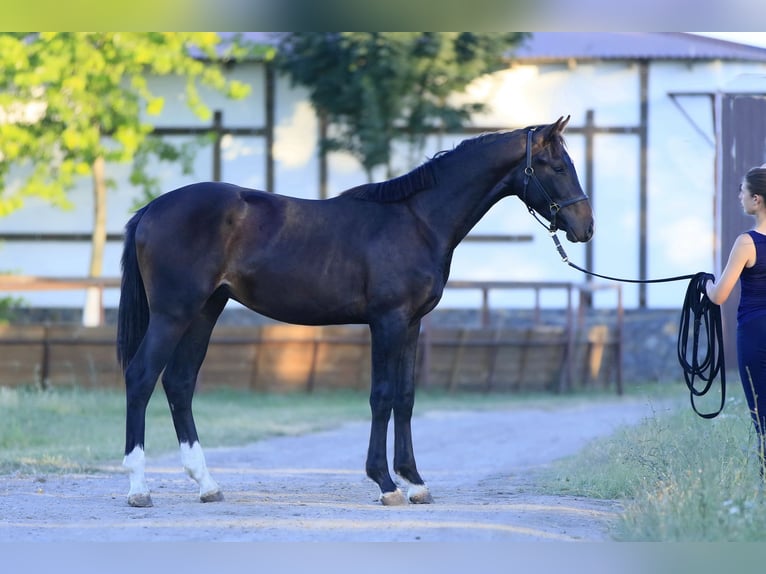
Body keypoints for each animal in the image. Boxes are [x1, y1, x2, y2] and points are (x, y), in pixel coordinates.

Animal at [117, 116, 592, 508]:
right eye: (556, 166)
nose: (585, 227)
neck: (417, 220)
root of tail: (151, 209)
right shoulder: (387, 321)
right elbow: (381, 396)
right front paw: (385, 483)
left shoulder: (412, 324)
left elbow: (405, 397)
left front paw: (415, 481)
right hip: (174, 313)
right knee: (141, 377)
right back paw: (139, 488)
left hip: (205, 310)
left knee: (179, 384)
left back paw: (207, 485)